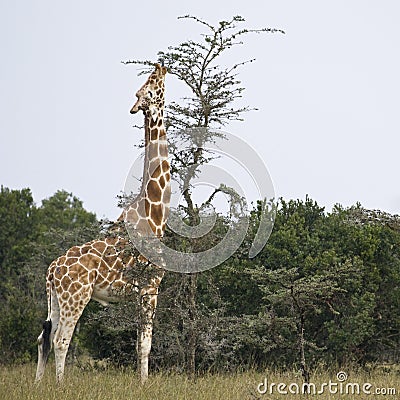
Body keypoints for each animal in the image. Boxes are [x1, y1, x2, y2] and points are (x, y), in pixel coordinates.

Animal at [34, 63, 170, 384]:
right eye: (150, 83)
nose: (162, 66)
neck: (154, 216)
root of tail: (52, 270)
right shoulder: (151, 287)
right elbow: (145, 344)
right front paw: (144, 385)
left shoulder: (139, 292)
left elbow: (138, 344)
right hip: (76, 296)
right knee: (61, 339)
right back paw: (59, 386)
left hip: (55, 298)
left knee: (43, 337)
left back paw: (38, 385)